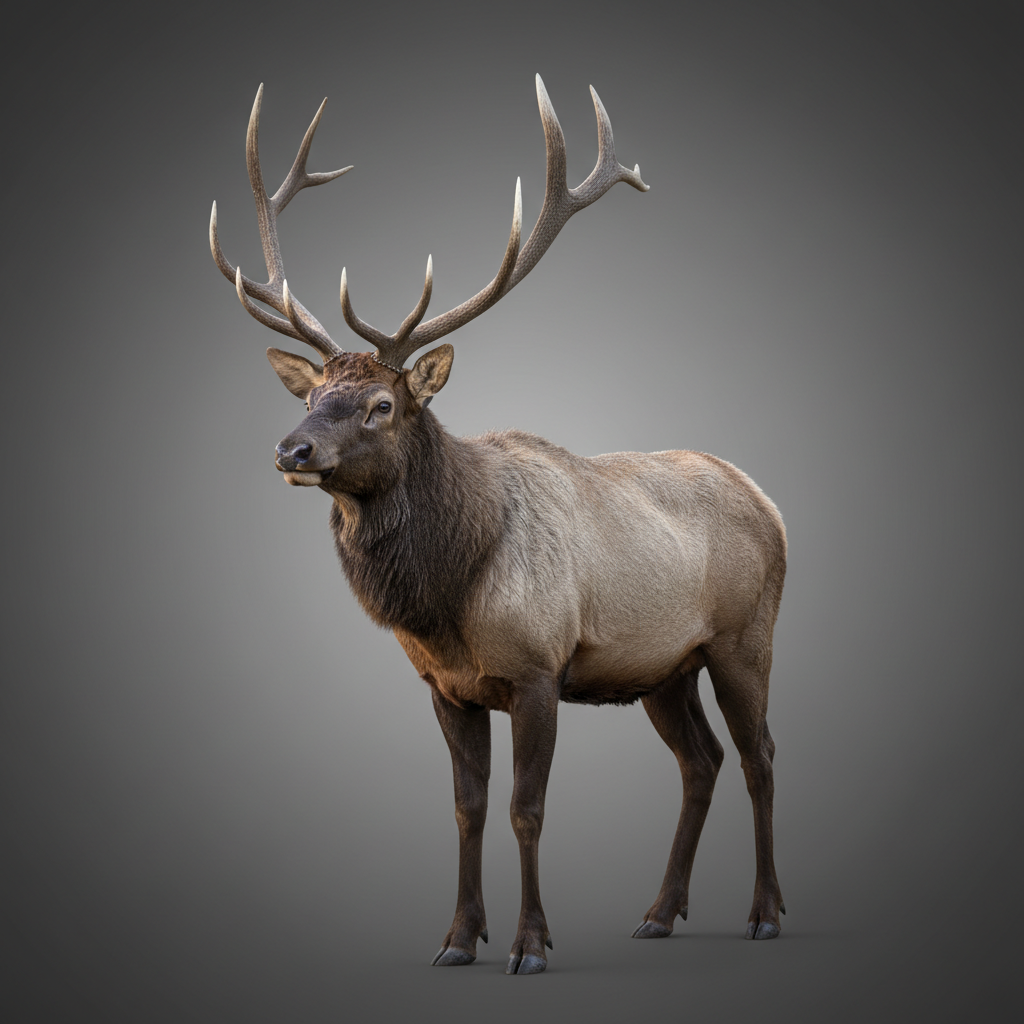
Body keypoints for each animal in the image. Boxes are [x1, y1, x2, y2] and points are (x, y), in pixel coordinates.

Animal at [210, 76, 787, 975]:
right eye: (313, 394)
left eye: (381, 404)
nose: (290, 449)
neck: (449, 600)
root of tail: (772, 504)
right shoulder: (446, 688)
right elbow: (467, 809)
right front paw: (456, 939)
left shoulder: (539, 668)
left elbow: (526, 809)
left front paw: (531, 944)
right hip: (666, 667)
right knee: (703, 761)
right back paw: (659, 913)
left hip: (743, 637)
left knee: (761, 756)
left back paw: (764, 913)